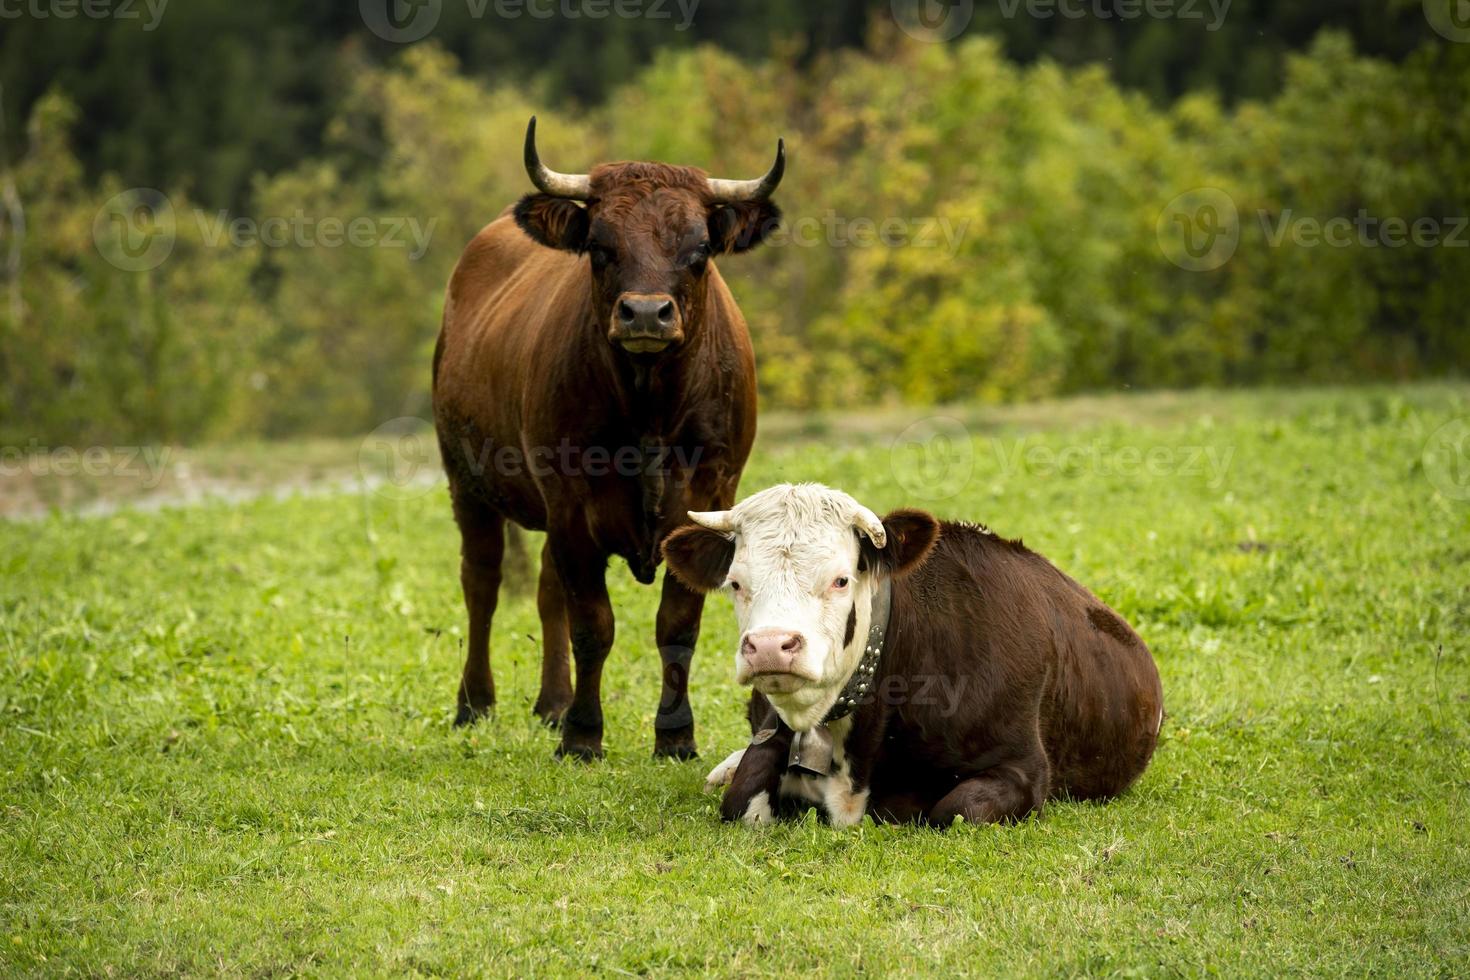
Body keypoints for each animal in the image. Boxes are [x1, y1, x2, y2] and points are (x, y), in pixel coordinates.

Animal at [432, 119, 787, 764]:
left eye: (699, 251)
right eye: (601, 248)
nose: (645, 313)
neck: (649, 413)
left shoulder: (706, 499)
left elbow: (677, 625)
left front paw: (675, 736)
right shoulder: (572, 507)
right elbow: (593, 625)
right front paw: (582, 735)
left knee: (545, 588)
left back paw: (551, 702)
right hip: (466, 482)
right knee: (483, 582)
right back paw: (475, 702)